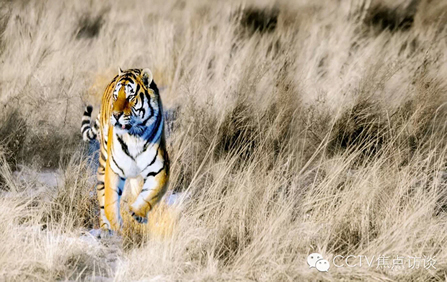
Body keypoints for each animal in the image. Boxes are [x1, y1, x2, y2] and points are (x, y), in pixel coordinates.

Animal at [80, 68, 170, 231]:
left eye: (130, 97)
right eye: (116, 96)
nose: (115, 115)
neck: (134, 136)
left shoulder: (160, 168)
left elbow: (151, 193)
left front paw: (138, 214)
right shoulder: (114, 169)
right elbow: (110, 200)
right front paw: (116, 225)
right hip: (103, 160)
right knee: (101, 190)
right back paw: (105, 228)